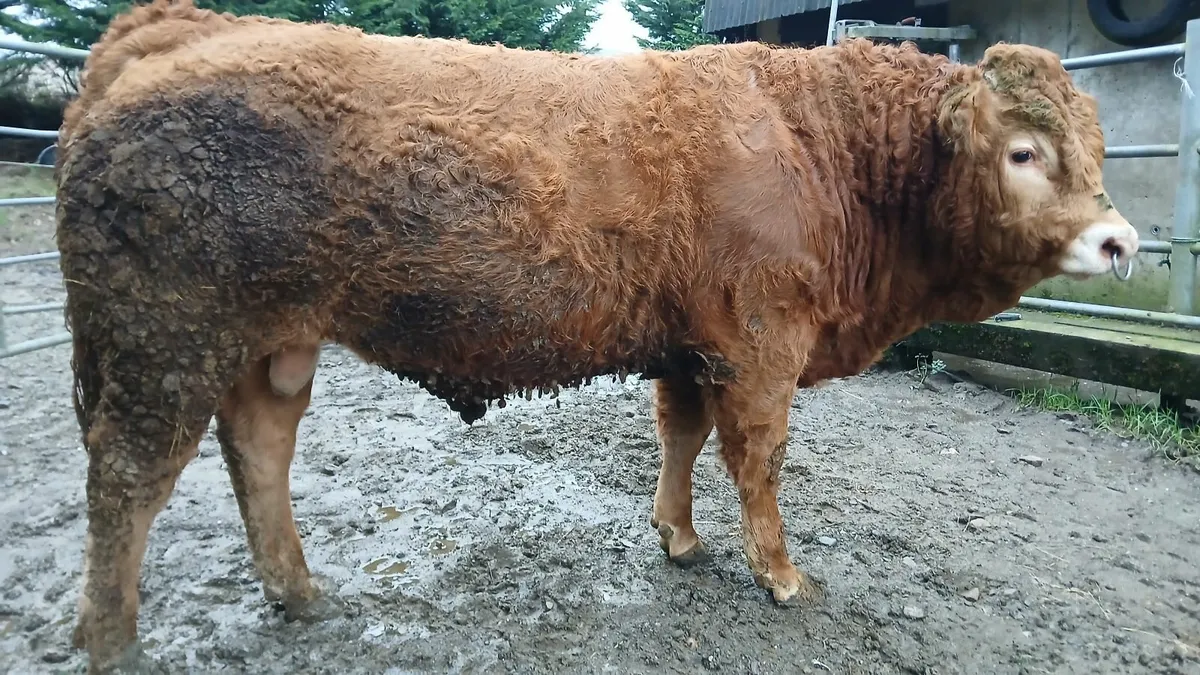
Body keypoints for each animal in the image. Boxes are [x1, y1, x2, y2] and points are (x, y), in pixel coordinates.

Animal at [53, 0, 1138, 671]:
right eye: (1024, 151)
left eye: (1099, 147)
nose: (1120, 240)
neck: (821, 146)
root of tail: (179, 28)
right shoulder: (762, 344)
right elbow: (759, 459)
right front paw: (779, 574)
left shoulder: (692, 346)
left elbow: (682, 438)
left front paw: (680, 538)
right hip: (165, 339)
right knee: (127, 481)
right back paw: (113, 640)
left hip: (268, 344)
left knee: (258, 451)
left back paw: (297, 591)